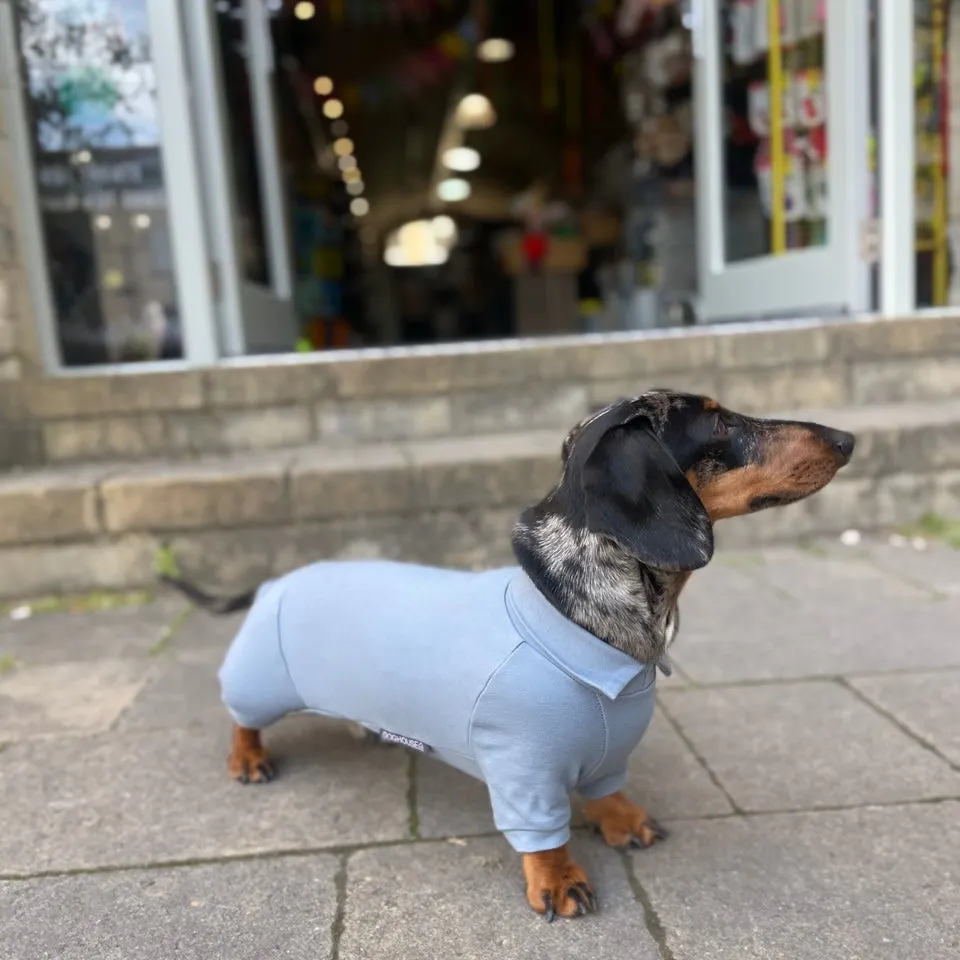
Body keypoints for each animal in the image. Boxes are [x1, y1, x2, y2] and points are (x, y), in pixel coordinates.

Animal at [159, 390, 856, 924]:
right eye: (717, 423)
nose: (848, 438)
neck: (582, 618)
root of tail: (278, 579)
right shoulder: (524, 772)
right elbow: (543, 831)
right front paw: (558, 880)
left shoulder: (608, 756)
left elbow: (607, 788)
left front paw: (621, 819)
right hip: (259, 679)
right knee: (240, 716)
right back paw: (247, 758)